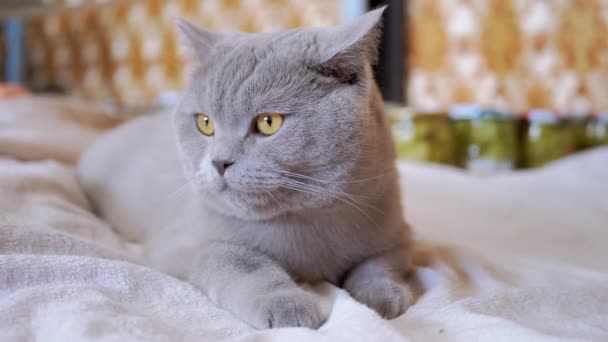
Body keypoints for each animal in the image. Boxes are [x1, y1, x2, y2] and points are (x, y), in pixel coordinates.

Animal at [78, 7, 414, 328]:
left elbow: (381, 262)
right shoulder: (179, 245)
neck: (304, 223)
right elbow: (241, 258)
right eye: (205, 123)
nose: (219, 161)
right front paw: (286, 303)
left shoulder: (397, 232)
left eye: (268, 122)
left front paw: (384, 295)